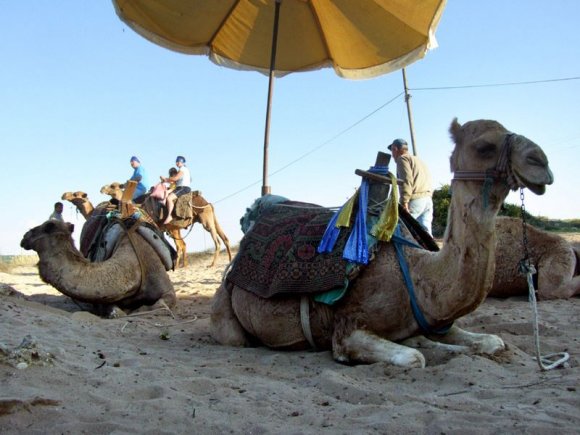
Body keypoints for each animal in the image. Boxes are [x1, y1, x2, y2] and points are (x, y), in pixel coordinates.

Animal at [99, 181, 231, 270]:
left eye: (113, 186)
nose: (101, 188)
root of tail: (208, 203)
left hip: (205, 219)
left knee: (216, 241)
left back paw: (212, 264)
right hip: (210, 218)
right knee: (224, 237)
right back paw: (228, 261)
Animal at [211, 118, 556, 368]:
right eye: (485, 145)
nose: (541, 161)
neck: (419, 276)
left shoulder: (438, 321)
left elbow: (493, 342)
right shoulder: (348, 330)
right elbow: (414, 357)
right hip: (227, 313)